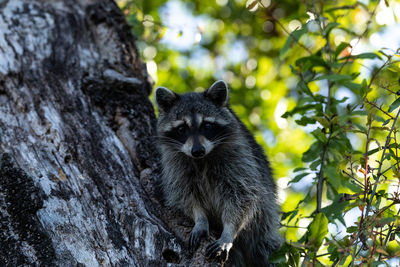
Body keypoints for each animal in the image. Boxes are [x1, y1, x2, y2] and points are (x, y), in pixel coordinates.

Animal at [155, 80, 282, 266]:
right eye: (182, 129)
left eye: (207, 126)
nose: (197, 151)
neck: (202, 159)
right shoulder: (176, 165)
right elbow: (185, 195)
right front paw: (200, 219)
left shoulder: (239, 159)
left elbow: (242, 197)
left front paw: (228, 231)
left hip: (264, 225)